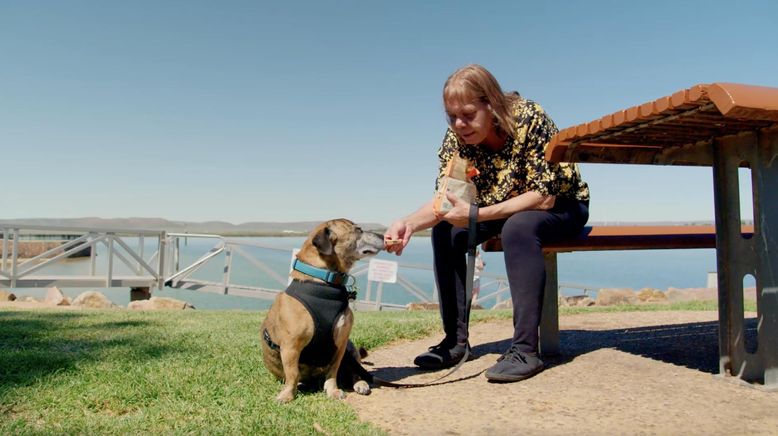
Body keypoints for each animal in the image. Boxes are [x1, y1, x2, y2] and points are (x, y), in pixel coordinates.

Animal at [260, 220, 384, 404]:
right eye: (358, 230)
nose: (383, 235)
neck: (325, 281)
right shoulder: (290, 346)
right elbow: (293, 373)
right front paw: (288, 394)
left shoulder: (341, 344)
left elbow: (333, 371)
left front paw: (332, 390)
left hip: (350, 349)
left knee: (355, 371)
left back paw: (360, 383)